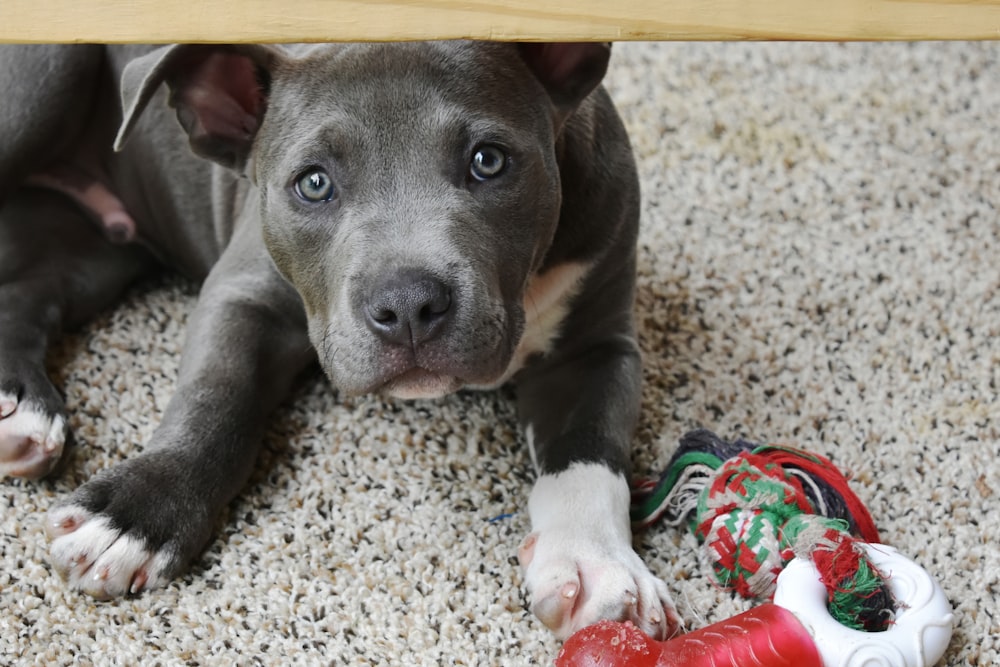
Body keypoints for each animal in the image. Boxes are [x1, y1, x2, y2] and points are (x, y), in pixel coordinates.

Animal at [0, 41, 680, 640]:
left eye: (489, 160)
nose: (408, 305)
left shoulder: (597, 349)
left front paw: (595, 561)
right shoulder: (242, 294)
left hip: (94, 250)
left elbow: (590, 450)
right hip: (44, 84)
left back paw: (19, 408)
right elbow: (215, 398)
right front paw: (135, 514)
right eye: (314, 183)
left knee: (24, 295)